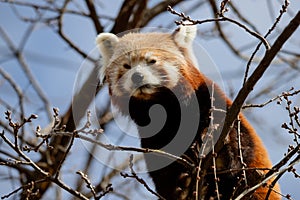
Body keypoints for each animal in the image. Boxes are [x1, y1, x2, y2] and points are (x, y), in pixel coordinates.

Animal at [96, 25, 282, 199]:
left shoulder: (210, 99)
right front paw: (180, 189)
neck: (164, 107)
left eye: (152, 61)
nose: (137, 77)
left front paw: (215, 144)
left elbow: (239, 141)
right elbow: (161, 168)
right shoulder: (153, 136)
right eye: (126, 66)